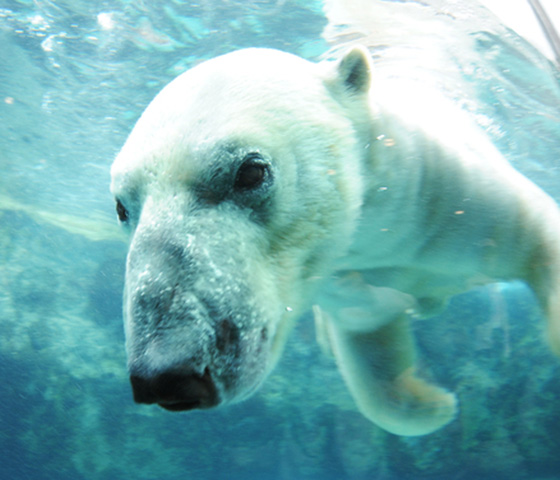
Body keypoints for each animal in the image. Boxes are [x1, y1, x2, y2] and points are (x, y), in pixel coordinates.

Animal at [109, 47, 560, 436]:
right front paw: (436, 403)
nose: (166, 376)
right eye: (120, 206)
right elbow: (372, 348)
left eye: (251, 172)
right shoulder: (349, 280)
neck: (376, 231)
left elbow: (538, 233)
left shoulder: (451, 195)